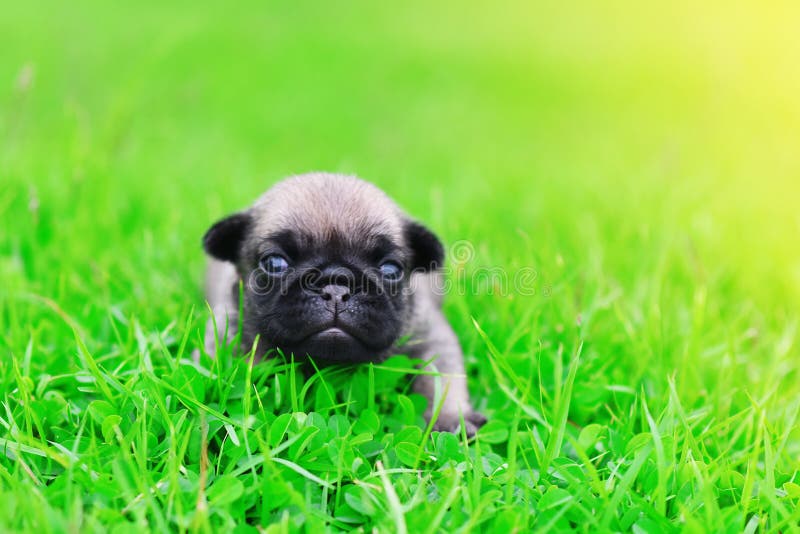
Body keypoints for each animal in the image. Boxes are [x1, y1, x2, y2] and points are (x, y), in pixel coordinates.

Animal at [203, 174, 484, 438]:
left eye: (391, 269)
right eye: (274, 263)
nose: (336, 285)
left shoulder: (432, 337)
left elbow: (441, 380)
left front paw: (449, 419)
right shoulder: (226, 332)